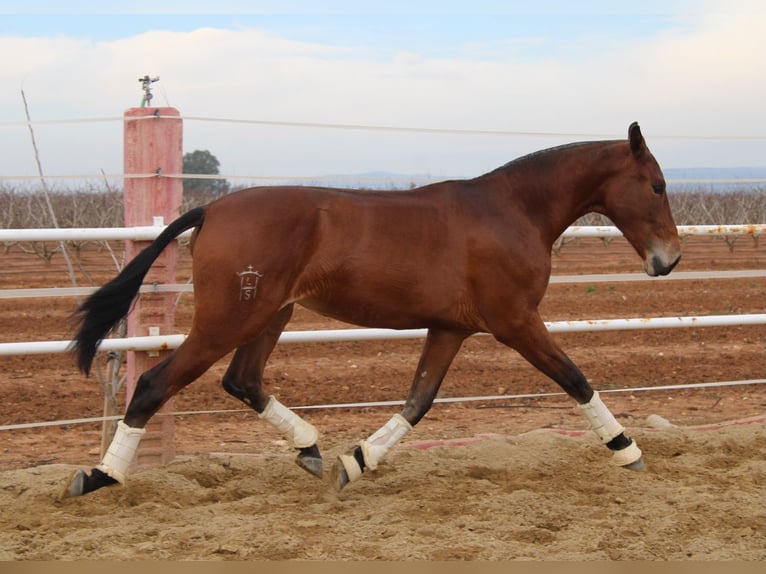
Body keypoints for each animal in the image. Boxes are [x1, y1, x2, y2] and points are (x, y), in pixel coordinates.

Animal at [63, 122, 680, 500]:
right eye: (656, 185)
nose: (669, 260)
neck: (512, 211)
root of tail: (210, 209)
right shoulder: (516, 322)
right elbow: (575, 378)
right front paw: (628, 452)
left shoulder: (451, 328)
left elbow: (418, 402)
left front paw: (355, 460)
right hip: (229, 320)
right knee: (155, 386)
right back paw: (99, 477)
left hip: (271, 316)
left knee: (242, 380)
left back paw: (310, 448)